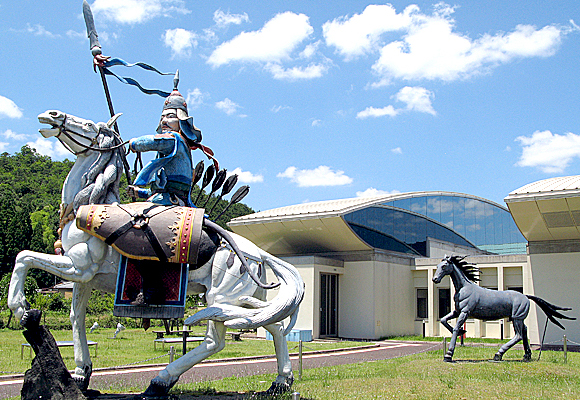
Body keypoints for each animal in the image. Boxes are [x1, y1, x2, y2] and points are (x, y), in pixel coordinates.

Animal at [7, 110, 304, 396]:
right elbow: (76, 319)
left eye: (90, 125)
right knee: (274, 325)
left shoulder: (79, 266)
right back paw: (281, 382)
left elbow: (23, 257)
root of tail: (259, 253)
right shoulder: (86, 278)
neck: (89, 202)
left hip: (220, 295)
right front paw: (81, 374)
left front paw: (20, 308)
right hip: (246, 297)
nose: (52, 114)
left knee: (214, 341)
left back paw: (159, 382)